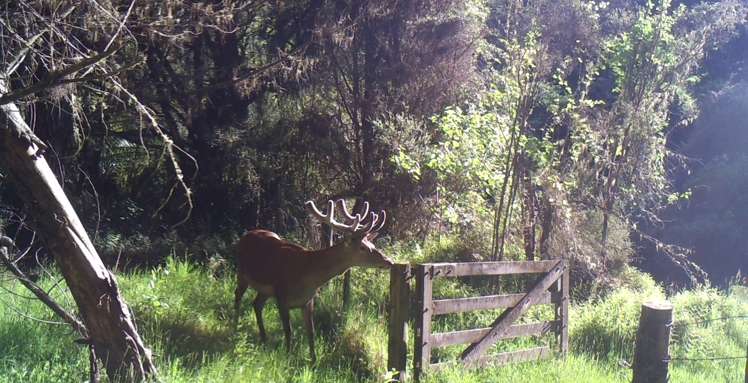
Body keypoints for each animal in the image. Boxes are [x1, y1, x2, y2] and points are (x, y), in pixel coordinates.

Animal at [235, 200, 394, 364]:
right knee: (238, 297)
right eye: (363, 247)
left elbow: (311, 331)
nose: (389, 261)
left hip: (265, 290)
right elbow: (288, 330)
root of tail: (246, 235)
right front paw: (288, 356)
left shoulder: (308, 300)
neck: (307, 273)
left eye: (373, 245)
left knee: (256, 304)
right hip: (241, 272)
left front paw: (314, 360)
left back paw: (264, 338)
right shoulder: (281, 295)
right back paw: (235, 329)